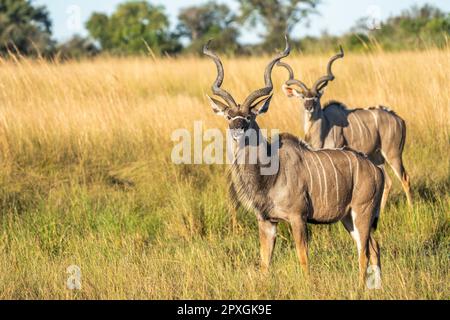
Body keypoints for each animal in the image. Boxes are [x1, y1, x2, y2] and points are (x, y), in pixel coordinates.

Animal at [204, 37, 384, 284]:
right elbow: (265, 262)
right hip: (348, 218)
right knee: (373, 247)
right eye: (229, 116)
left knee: (364, 252)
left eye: (249, 116)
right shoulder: (266, 221)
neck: (269, 173)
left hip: (362, 212)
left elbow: (303, 258)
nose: (237, 129)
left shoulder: (298, 218)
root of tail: (377, 170)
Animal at [280, 47, 414, 208]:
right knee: (387, 181)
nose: (309, 107)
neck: (324, 126)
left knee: (405, 179)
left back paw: (412, 209)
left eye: (316, 97)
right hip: (377, 156)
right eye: (302, 97)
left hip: (393, 153)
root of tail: (399, 119)